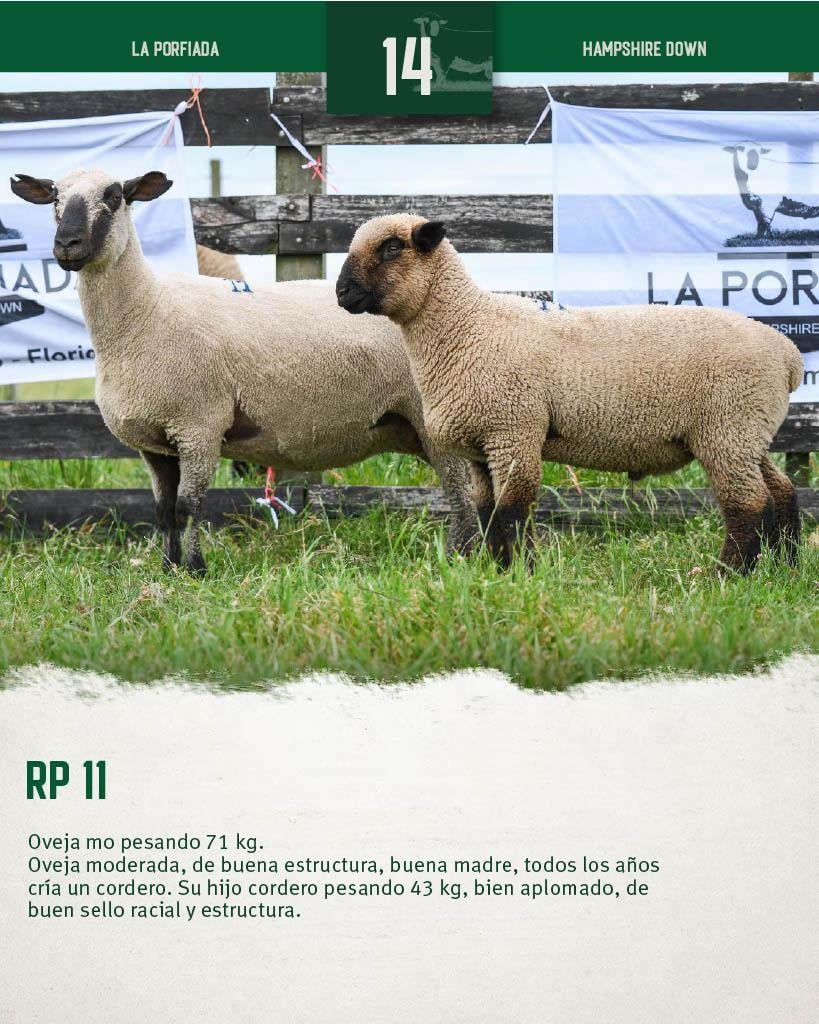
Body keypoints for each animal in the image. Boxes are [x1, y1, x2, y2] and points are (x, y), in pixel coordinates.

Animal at [10, 171, 479, 575]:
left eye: (113, 195)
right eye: (54, 197)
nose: (67, 244)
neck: (145, 313)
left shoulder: (198, 426)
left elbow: (188, 507)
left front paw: (196, 571)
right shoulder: (154, 442)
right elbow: (163, 511)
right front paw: (168, 569)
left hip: (434, 420)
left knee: (462, 497)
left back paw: (461, 559)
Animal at [336, 214, 805, 574]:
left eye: (392, 247)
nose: (340, 293)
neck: (468, 327)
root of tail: (788, 354)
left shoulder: (514, 430)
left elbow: (512, 512)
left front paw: (524, 574)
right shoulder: (478, 447)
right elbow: (488, 514)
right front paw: (500, 573)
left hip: (727, 428)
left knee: (749, 505)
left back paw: (728, 575)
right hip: (745, 432)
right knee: (780, 490)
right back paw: (784, 566)